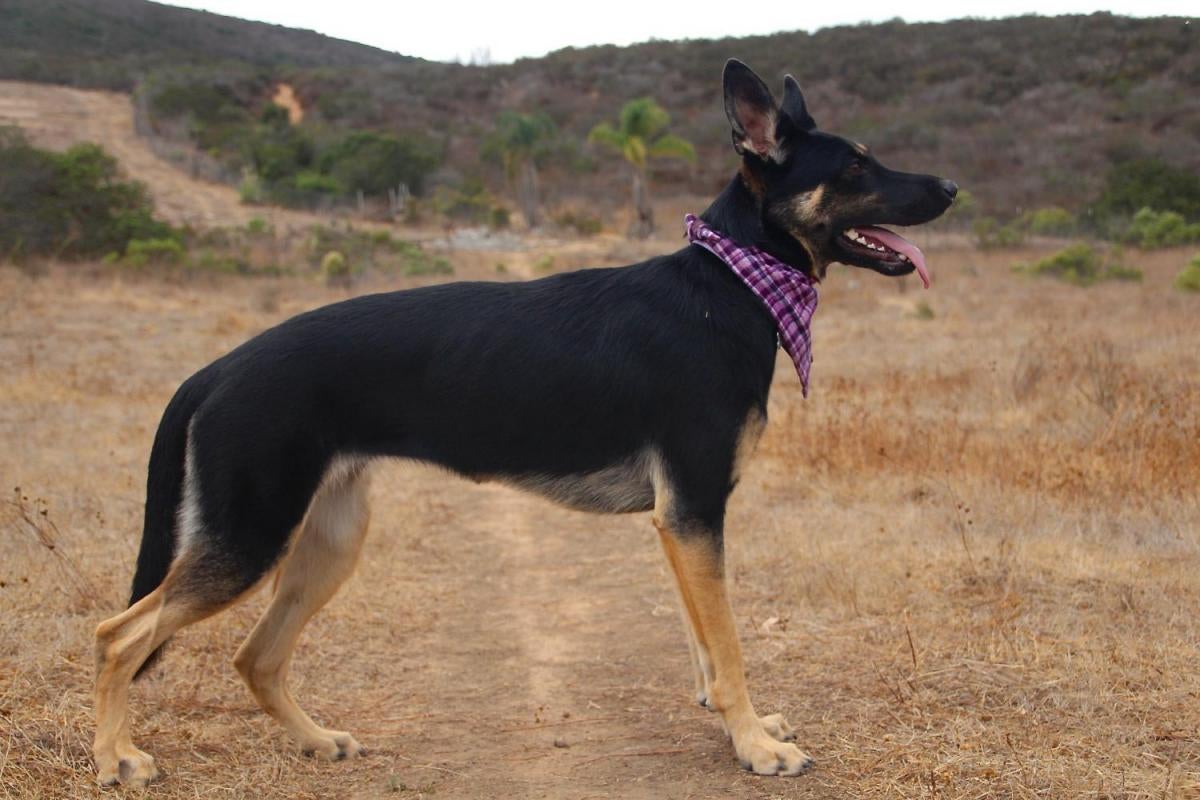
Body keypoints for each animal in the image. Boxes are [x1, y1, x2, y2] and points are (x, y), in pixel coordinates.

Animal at [91, 59, 955, 786]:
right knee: (119, 636)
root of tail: (216, 369)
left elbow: (706, 649)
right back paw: (116, 759)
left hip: (327, 539)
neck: (732, 281)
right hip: (250, 537)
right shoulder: (694, 513)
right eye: (854, 167)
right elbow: (730, 647)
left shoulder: (681, 522)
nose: (951, 187)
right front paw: (755, 748)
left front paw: (737, 726)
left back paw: (314, 740)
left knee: (256, 657)